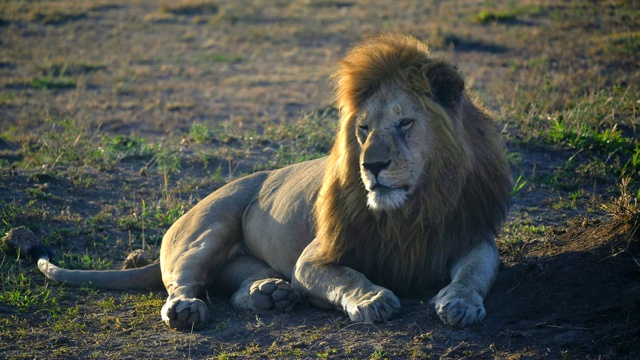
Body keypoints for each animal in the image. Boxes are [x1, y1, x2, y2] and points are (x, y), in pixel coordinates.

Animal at [27, 33, 512, 330]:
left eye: (405, 123)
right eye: (362, 130)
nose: (371, 166)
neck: (411, 210)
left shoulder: (470, 236)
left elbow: (474, 272)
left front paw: (460, 303)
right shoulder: (313, 259)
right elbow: (348, 275)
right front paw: (373, 299)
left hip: (244, 261)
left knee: (237, 286)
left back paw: (269, 296)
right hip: (207, 229)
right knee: (181, 282)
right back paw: (188, 310)